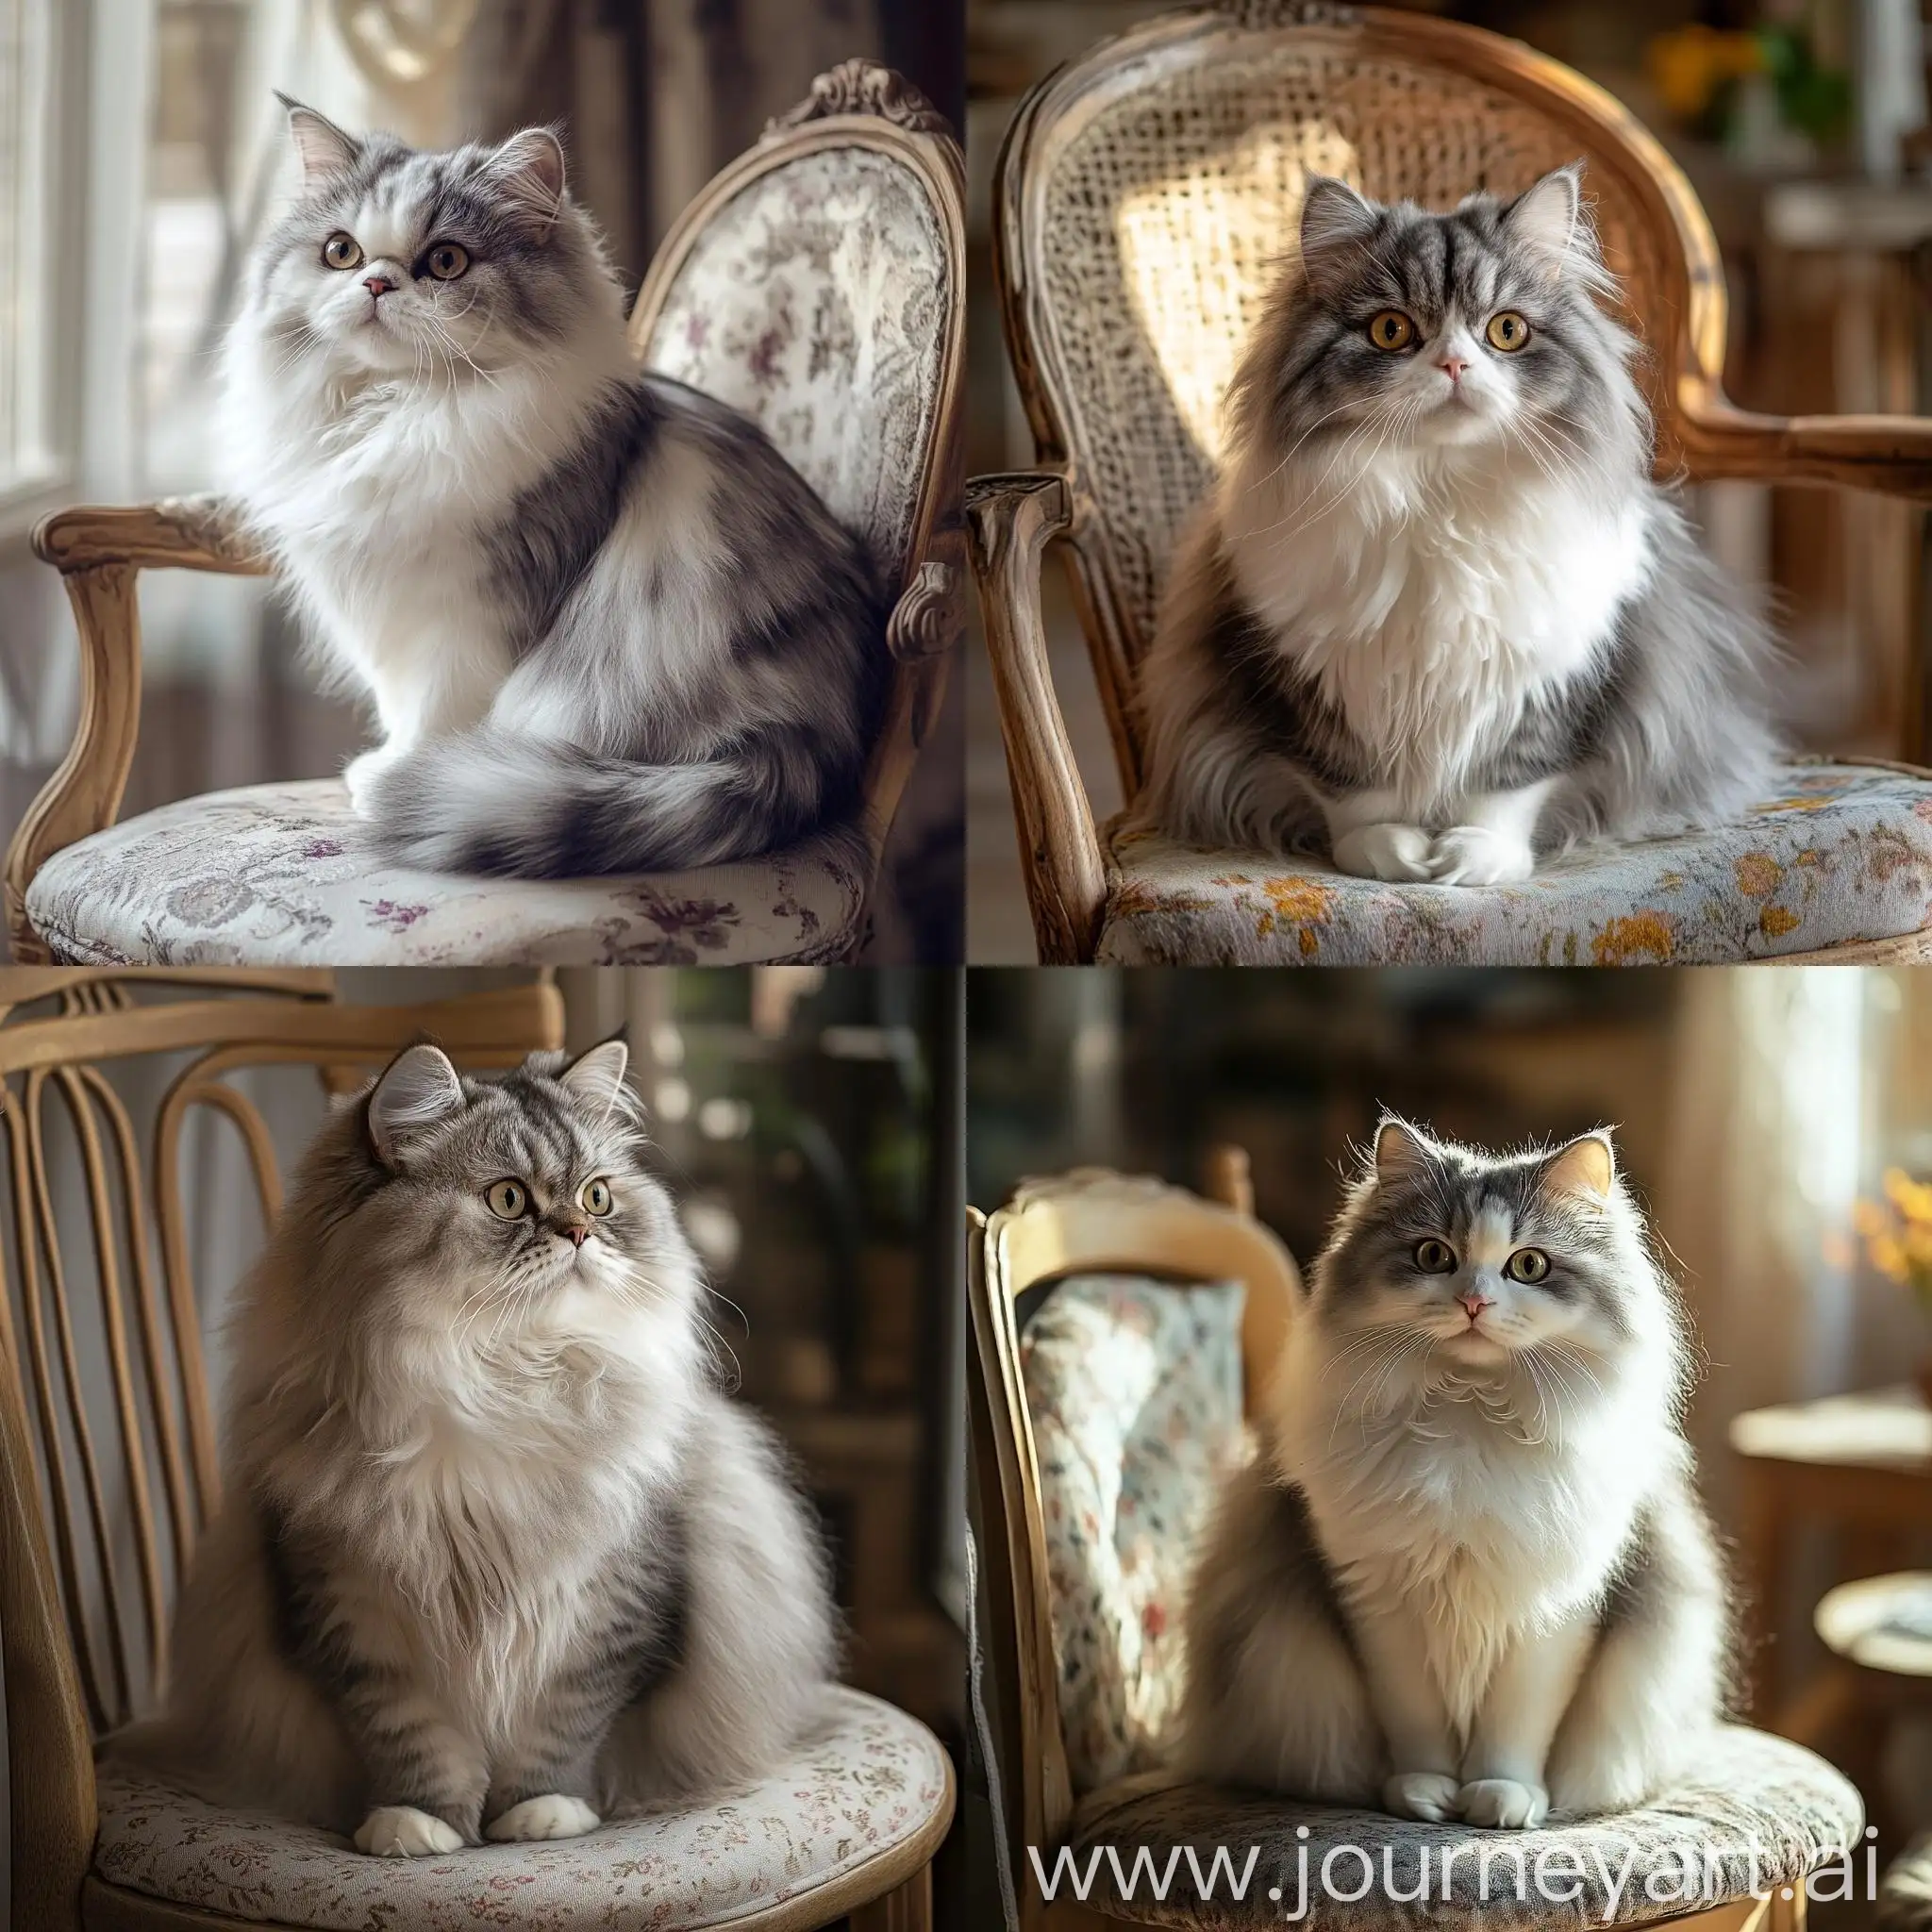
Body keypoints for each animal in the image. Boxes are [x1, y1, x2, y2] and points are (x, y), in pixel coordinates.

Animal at [110, 1042, 838, 1855]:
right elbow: (414, 1743)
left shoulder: (609, 1615)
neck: (502, 1384)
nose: (581, 1235)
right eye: (510, 1200)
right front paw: (417, 1827)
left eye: (596, 1198)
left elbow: (562, 1730)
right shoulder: (355, 1620)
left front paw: (541, 1816)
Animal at [222, 97, 884, 869]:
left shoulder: (474, 615)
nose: (377, 283)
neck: (398, 415)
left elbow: (434, 713)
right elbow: (402, 704)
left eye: (445, 261)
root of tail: (816, 739)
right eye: (341, 252)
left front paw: (397, 777)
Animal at [1128, 170, 1777, 884]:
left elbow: (1507, 787)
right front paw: (1393, 854)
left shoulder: (1553, 680)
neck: (1438, 496)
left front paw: (1474, 858)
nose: (1455, 365)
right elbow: (1356, 794)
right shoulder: (1314, 686)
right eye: (1391, 330)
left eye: (1506, 330)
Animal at [1182, 1120, 1731, 1824]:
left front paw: (1502, 1799)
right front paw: (1425, 1795)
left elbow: (1515, 1728)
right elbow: (1414, 1722)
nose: (1473, 1301)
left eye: (1529, 1266)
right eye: (1433, 1257)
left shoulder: (1556, 1608)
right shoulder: (1379, 1599)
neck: (1469, 1415)